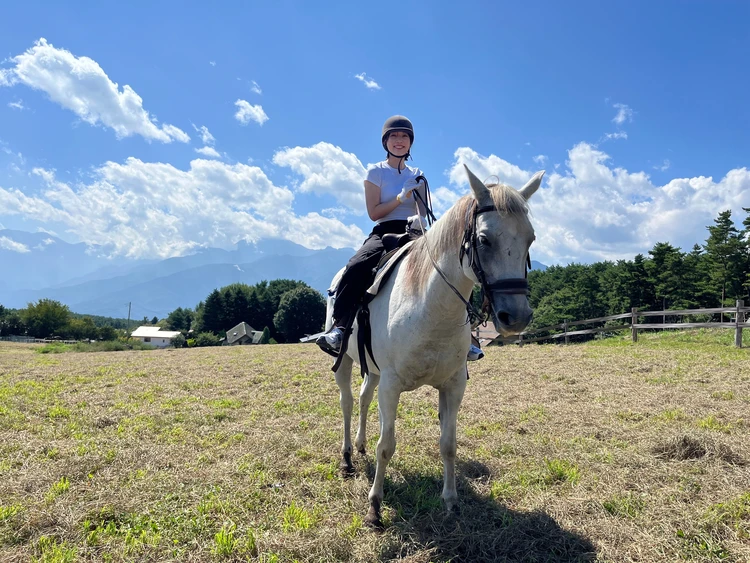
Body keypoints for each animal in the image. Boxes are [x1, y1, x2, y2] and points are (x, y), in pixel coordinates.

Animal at [326, 164, 543, 528]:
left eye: (530, 238)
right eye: (484, 240)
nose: (516, 317)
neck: (429, 307)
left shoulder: (453, 386)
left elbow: (448, 444)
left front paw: (451, 502)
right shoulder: (392, 386)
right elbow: (387, 445)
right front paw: (374, 507)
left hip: (374, 370)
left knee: (364, 399)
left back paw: (359, 445)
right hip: (345, 362)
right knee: (346, 402)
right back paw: (346, 458)